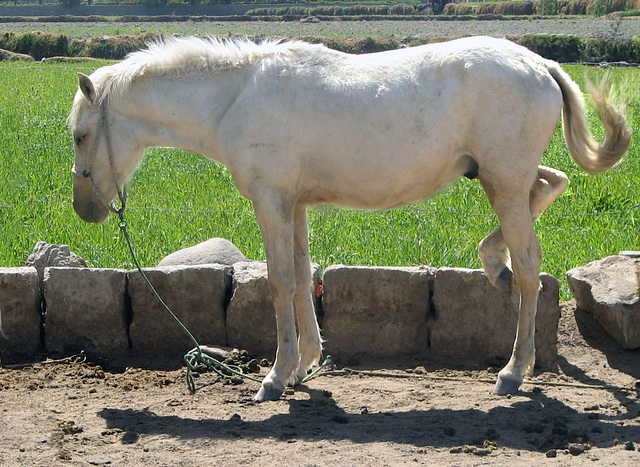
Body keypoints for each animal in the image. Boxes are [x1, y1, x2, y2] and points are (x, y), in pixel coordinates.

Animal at [70, 36, 632, 402]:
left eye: (80, 135)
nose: (85, 208)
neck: (236, 97)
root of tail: (542, 64)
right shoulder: (293, 205)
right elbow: (301, 279)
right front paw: (303, 366)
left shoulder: (270, 202)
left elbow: (278, 282)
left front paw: (275, 378)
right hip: (500, 178)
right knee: (552, 184)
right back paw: (493, 264)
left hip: (504, 183)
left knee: (531, 269)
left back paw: (514, 370)